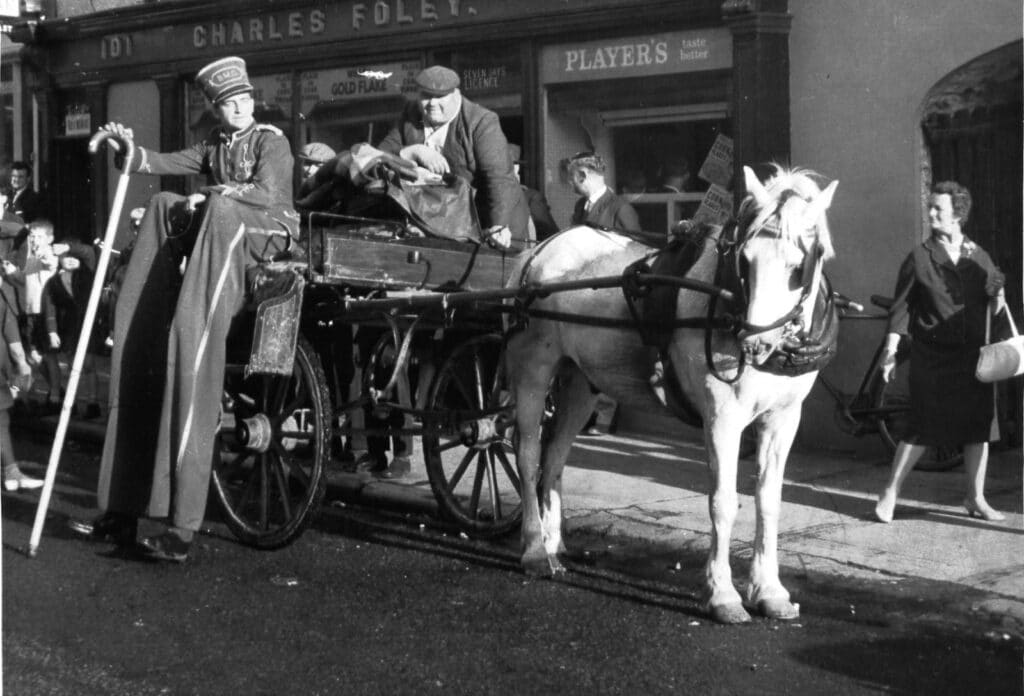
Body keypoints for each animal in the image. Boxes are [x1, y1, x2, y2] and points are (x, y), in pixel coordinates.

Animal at [505, 165, 839, 622]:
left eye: (801, 264)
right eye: (745, 259)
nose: (754, 345)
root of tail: (540, 250)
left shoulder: (783, 418)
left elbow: (769, 500)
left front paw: (769, 590)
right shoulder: (722, 417)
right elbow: (723, 501)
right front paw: (722, 594)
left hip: (579, 381)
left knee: (554, 457)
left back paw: (554, 543)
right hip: (533, 369)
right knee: (527, 453)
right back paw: (535, 549)